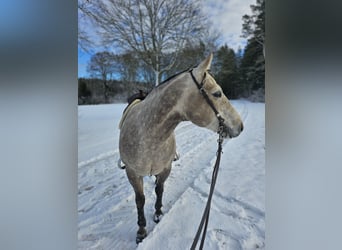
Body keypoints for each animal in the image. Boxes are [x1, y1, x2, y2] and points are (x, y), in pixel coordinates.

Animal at [119, 53, 243, 243]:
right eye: (217, 93)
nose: (240, 126)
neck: (148, 136)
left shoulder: (166, 168)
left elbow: (159, 190)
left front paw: (158, 213)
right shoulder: (133, 174)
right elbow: (140, 200)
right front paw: (141, 230)